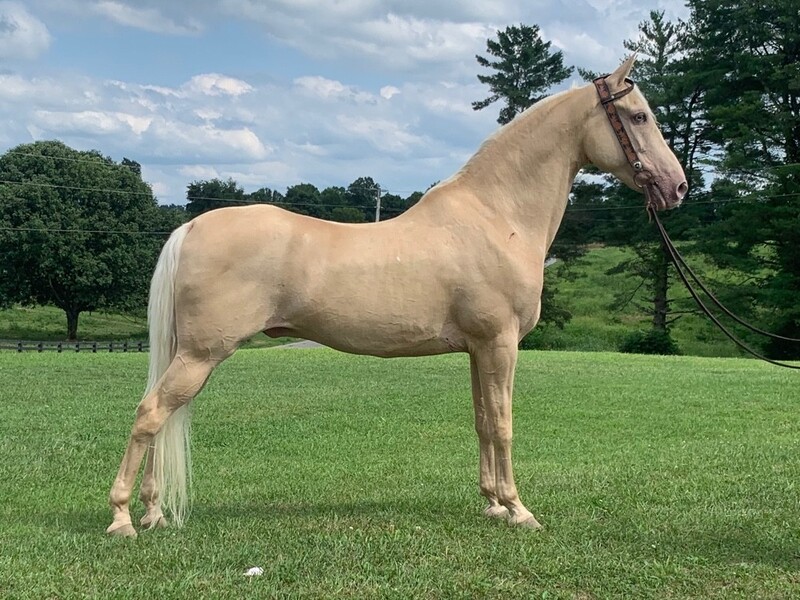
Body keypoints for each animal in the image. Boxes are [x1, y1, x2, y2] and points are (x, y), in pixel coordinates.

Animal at [107, 55, 687, 537]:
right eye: (638, 116)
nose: (678, 187)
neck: (495, 215)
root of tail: (191, 227)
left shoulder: (479, 349)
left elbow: (482, 421)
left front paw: (492, 504)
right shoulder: (501, 344)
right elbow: (503, 424)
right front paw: (520, 510)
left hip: (191, 355)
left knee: (161, 418)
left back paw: (153, 512)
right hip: (200, 354)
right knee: (150, 414)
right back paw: (123, 519)